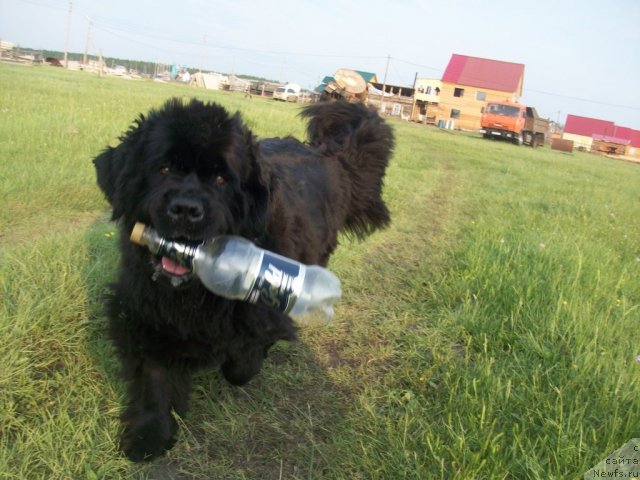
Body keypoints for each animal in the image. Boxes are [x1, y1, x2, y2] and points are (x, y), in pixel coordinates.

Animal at [92, 98, 392, 462]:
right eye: (162, 169)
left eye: (221, 179)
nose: (185, 208)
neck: (195, 292)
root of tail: (327, 155)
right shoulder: (142, 310)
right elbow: (154, 374)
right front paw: (149, 435)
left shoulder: (261, 309)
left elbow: (241, 363)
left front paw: (246, 357)